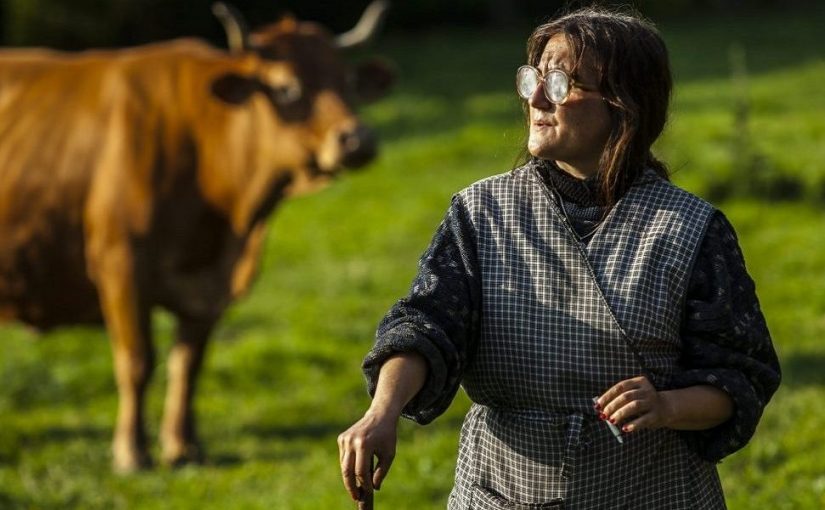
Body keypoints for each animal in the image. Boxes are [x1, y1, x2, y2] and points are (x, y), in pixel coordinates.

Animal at [0, 0, 394, 474]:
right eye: (286, 88)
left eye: (347, 81)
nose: (358, 139)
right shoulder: (120, 264)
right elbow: (137, 361)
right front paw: (132, 451)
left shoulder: (208, 284)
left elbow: (188, 364)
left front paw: (183, 446)